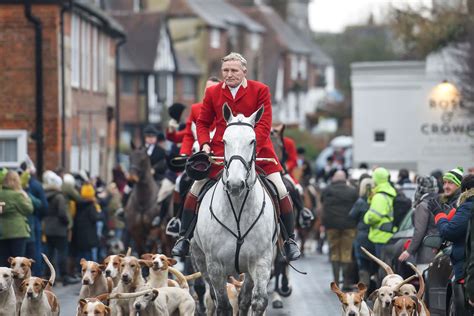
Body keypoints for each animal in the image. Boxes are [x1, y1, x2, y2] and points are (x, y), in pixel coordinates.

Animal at [190, 104, 276, 316]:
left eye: (252, 140)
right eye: (224, 141)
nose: (235, 184)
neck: (238, 210)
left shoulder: (261, 262)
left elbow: (257, 302)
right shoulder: (215, 267)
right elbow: (223, 305)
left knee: (244, 299)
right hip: (200, 259)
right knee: (212, 296)